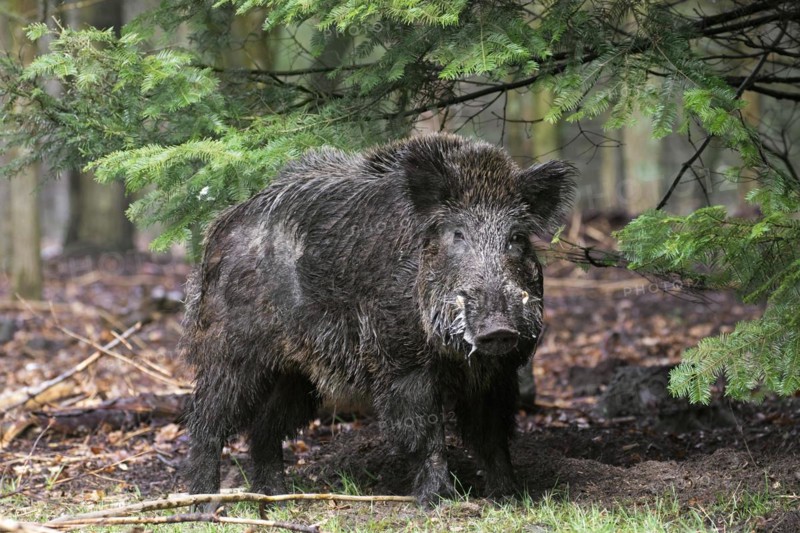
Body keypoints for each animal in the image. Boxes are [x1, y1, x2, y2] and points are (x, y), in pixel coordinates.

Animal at [180, 133, 576, 504]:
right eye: (457, 234)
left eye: (516, 237)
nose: (498, 329)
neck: (456, 355)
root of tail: (218, 230)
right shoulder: (402, 363)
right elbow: (423, 433)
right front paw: (439, 501)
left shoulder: (497, 376)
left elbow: (491, 436)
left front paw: (511, 497)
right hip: (230, 350)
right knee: (206, 422)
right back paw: (204, 506)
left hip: (299, 372)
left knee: (264, 428)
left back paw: (275, 501)